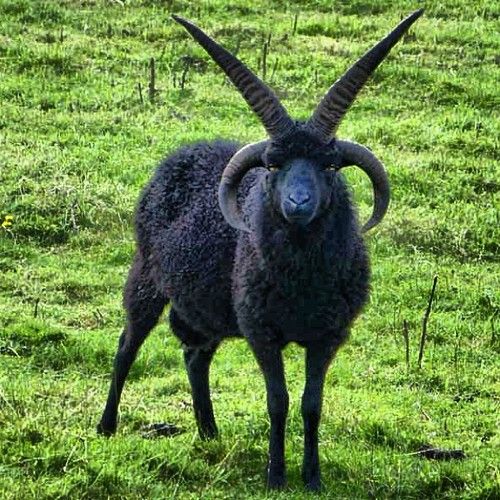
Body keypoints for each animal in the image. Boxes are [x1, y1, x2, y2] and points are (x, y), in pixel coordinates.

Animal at [98, 9, 426, 490]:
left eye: (329, 165)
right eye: (273, 165)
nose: (298, 203)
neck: (302, 283)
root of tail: (184, 152)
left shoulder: (328, 335)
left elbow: (311, 404)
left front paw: (312, 478)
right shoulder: (261, 331)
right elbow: (278, 401)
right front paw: (275, 476)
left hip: (211, 308)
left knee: (195, 356)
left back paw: (209, 432)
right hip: (146, 277)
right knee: (127, 346)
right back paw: (106, 426)